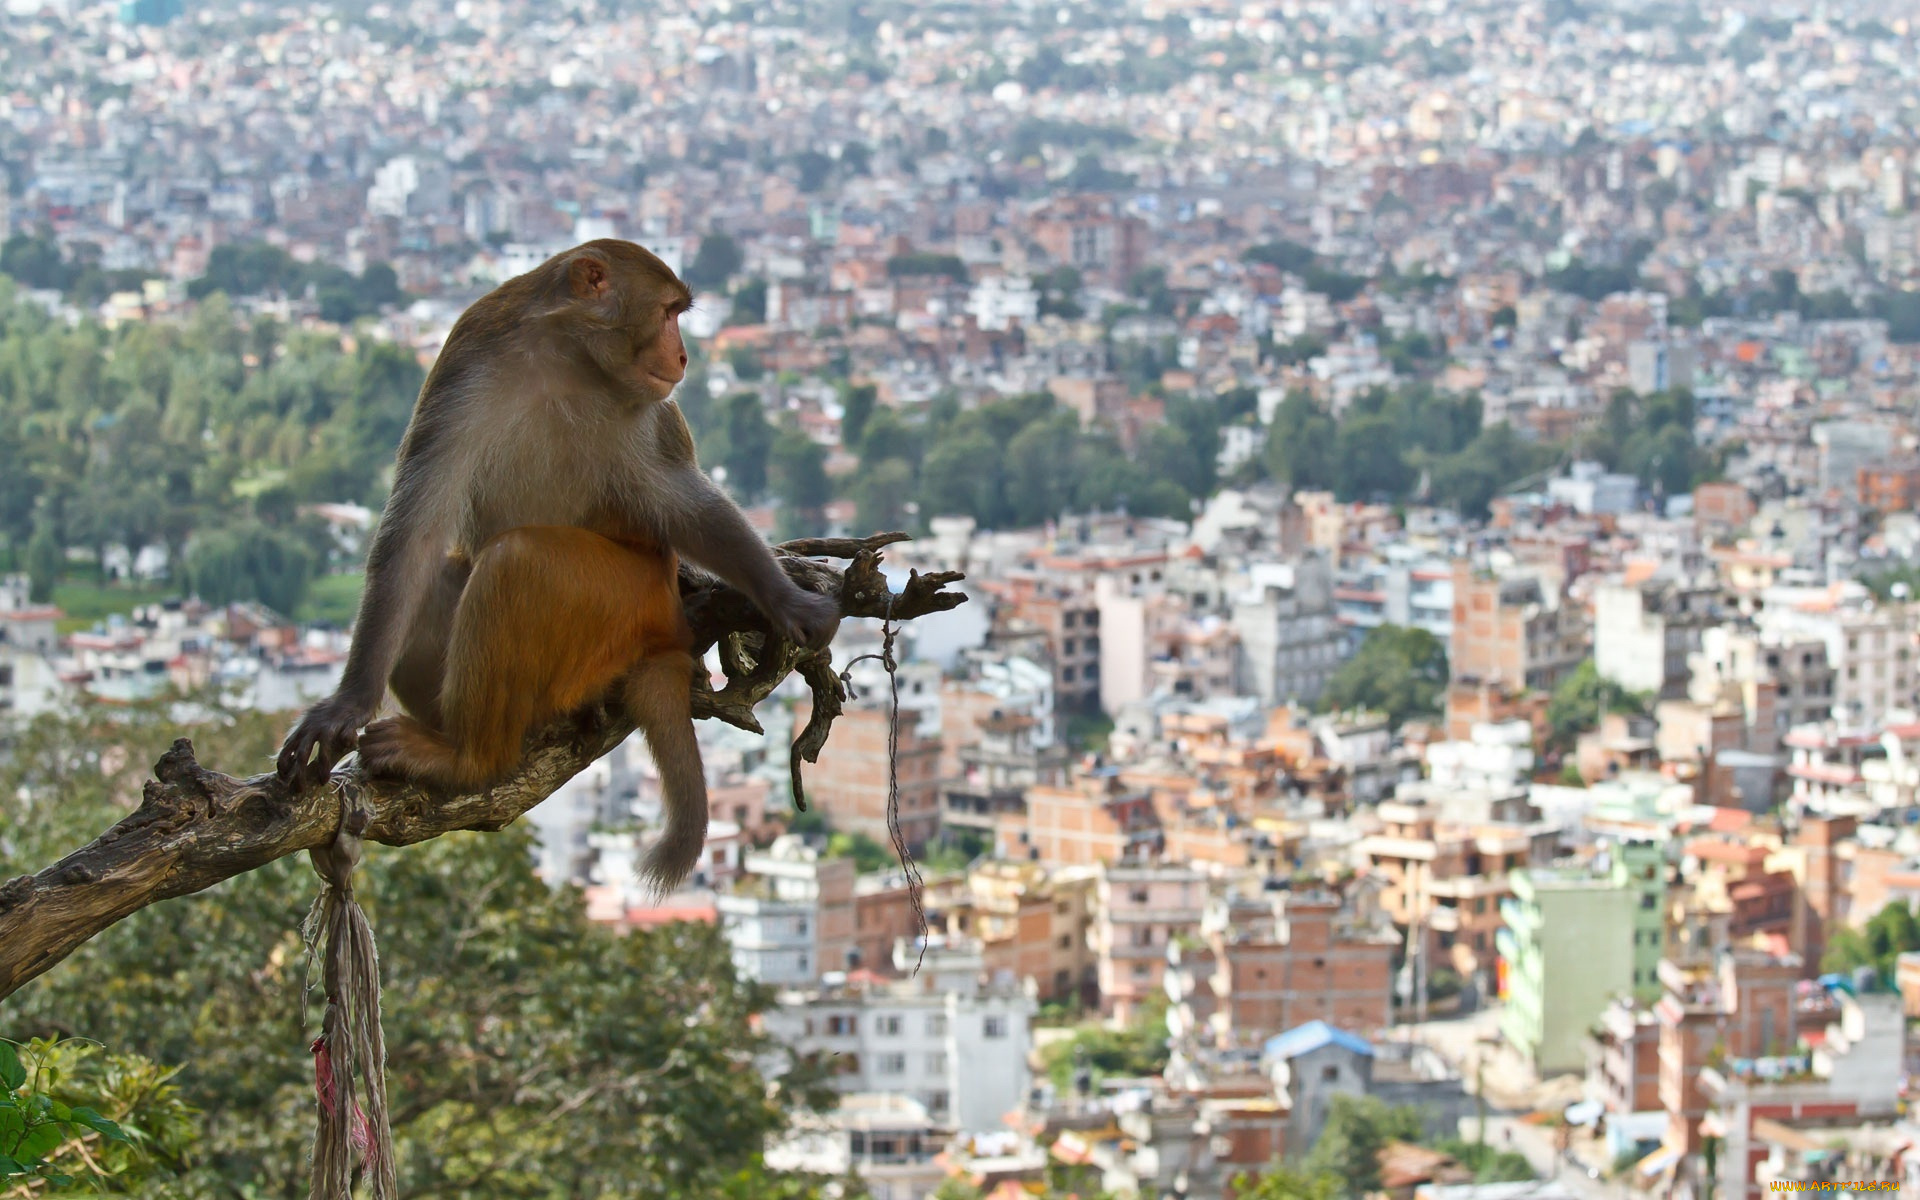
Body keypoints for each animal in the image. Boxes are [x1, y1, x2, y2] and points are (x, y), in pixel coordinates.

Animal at [276, 239, 840, 890]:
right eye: (668, 312)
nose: (682, 354)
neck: (566, 358)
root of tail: (666, 630)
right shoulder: (468, 364)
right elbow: (414, 536)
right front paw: (345, 705)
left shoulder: (645, 410)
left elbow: (687, 507)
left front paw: (786, 598)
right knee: (443, 574)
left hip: (621, 604)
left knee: (519, 562)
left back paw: (470, 759)